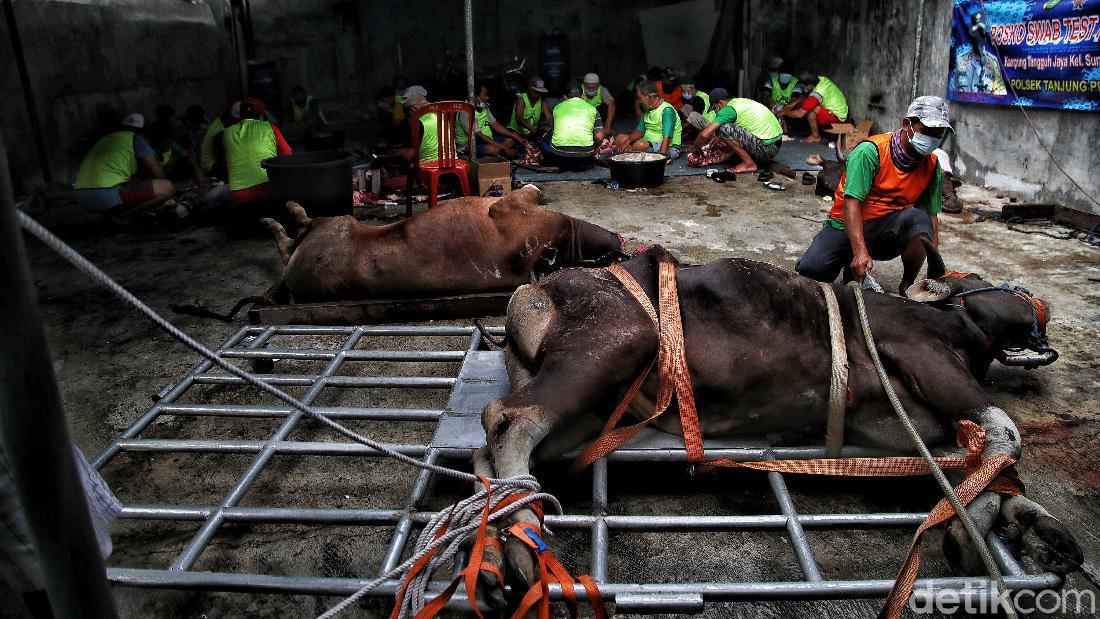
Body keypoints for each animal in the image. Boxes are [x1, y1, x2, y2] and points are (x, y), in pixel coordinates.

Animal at [259, 186, 629, 303]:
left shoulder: (516, 208)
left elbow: (529, 191)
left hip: (329, 234)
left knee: (292, 239)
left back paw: (278, 219)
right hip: (336, 225)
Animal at [468, 246, 1078, 606]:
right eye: (978, 277)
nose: (1037, 304)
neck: (959, 324)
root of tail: (532, 294)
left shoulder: (898, 430)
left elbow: (970, 461)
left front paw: (1030, 520)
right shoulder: (924, 357)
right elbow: (1004, 434)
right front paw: (975, 526)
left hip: (593, 410)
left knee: (492, 447)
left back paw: (499, 537)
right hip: (614, 342)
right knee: (509, 419)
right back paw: (523, 536)